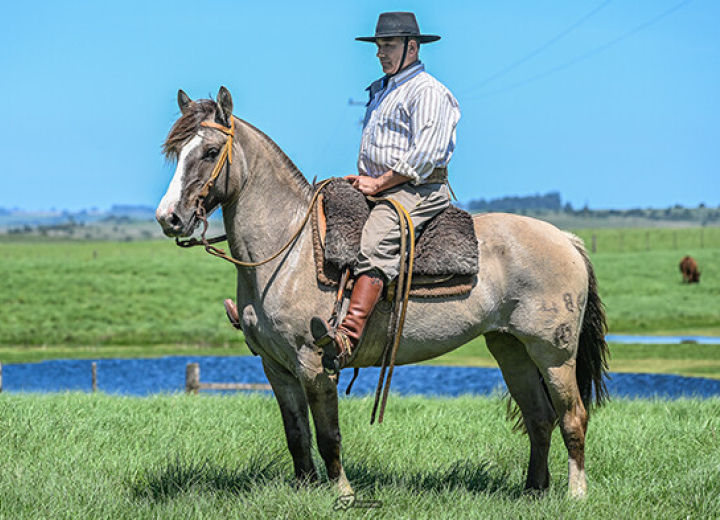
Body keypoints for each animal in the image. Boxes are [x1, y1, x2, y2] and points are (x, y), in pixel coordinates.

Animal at [156, 87, 608, 498]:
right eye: (176, 152)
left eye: (211, 151)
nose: (169, 218)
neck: (288, 248)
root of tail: (567, 239)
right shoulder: (276, 367)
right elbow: (297, 435)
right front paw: (305, 489)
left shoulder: (314, 364)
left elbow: (328, 435)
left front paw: (343, 494)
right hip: (510, 348)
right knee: (538, 417)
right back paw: (533, 490)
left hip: (553, 354)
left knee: (572, 417)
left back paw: (575, 494)